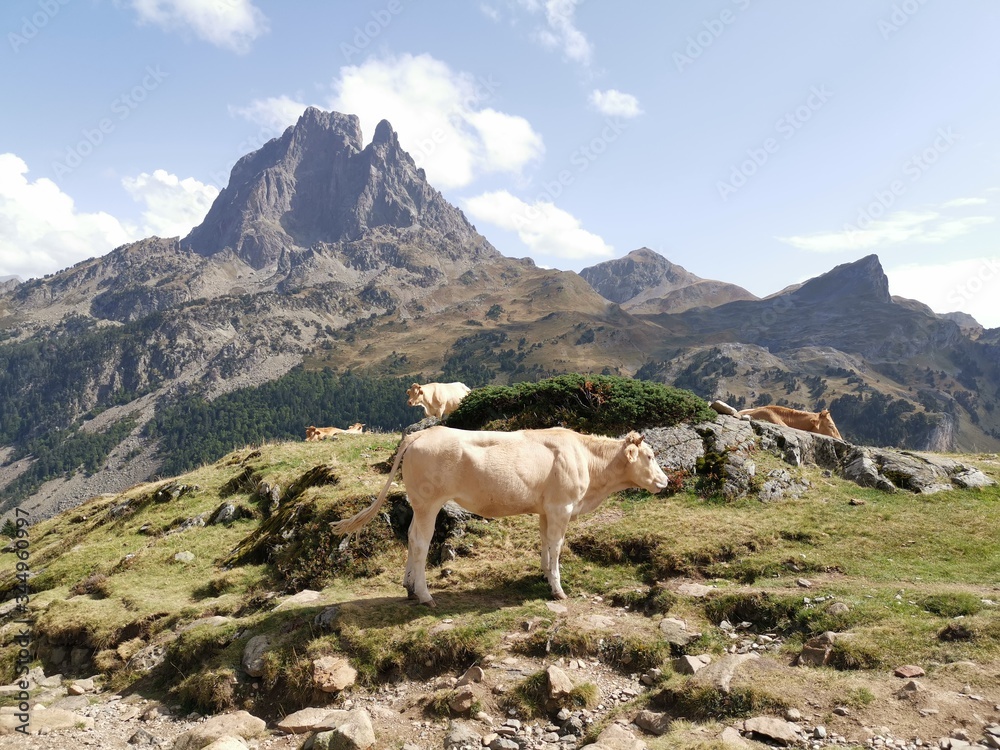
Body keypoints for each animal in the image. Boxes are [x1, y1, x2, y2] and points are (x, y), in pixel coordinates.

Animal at [330, 426, 670, 607]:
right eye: (650, 456)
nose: (665, 481)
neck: (586, 461)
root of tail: (422, 434)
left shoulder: (546, 509)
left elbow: (545, 544)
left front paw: (544, 575)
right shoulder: (561, 507)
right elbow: (557, 546)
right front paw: (558, 589)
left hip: (419, 503)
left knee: (412, 540)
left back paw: (409, 587)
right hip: (429, 501)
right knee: (420, 541)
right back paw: (424, 595)